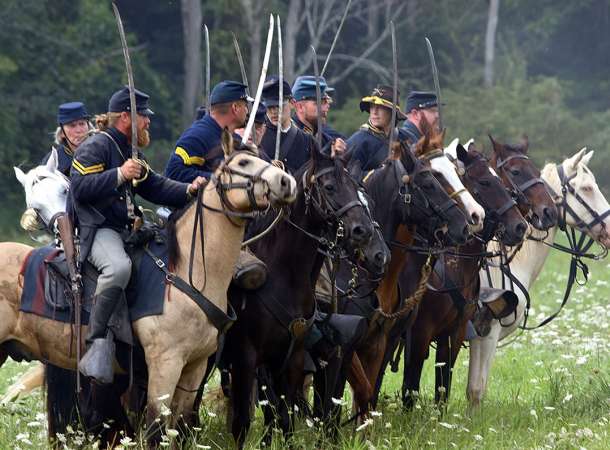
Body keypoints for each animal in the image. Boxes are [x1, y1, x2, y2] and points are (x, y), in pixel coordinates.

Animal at [0, 132, 294, 442]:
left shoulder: (194, 369)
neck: (185, 272)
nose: (286, 182)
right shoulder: (164, 367)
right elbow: (155, 429)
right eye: (242, 162)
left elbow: (179, 427)